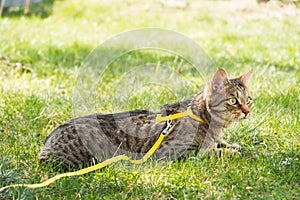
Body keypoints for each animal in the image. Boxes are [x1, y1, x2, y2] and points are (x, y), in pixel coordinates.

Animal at [38, 68, 253, 168]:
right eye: (233, 100)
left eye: (249, 100)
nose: (247, 111)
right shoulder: (175, 153)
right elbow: (212, 152)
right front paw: (232, 152)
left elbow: (220, 144)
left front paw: (231, 145)